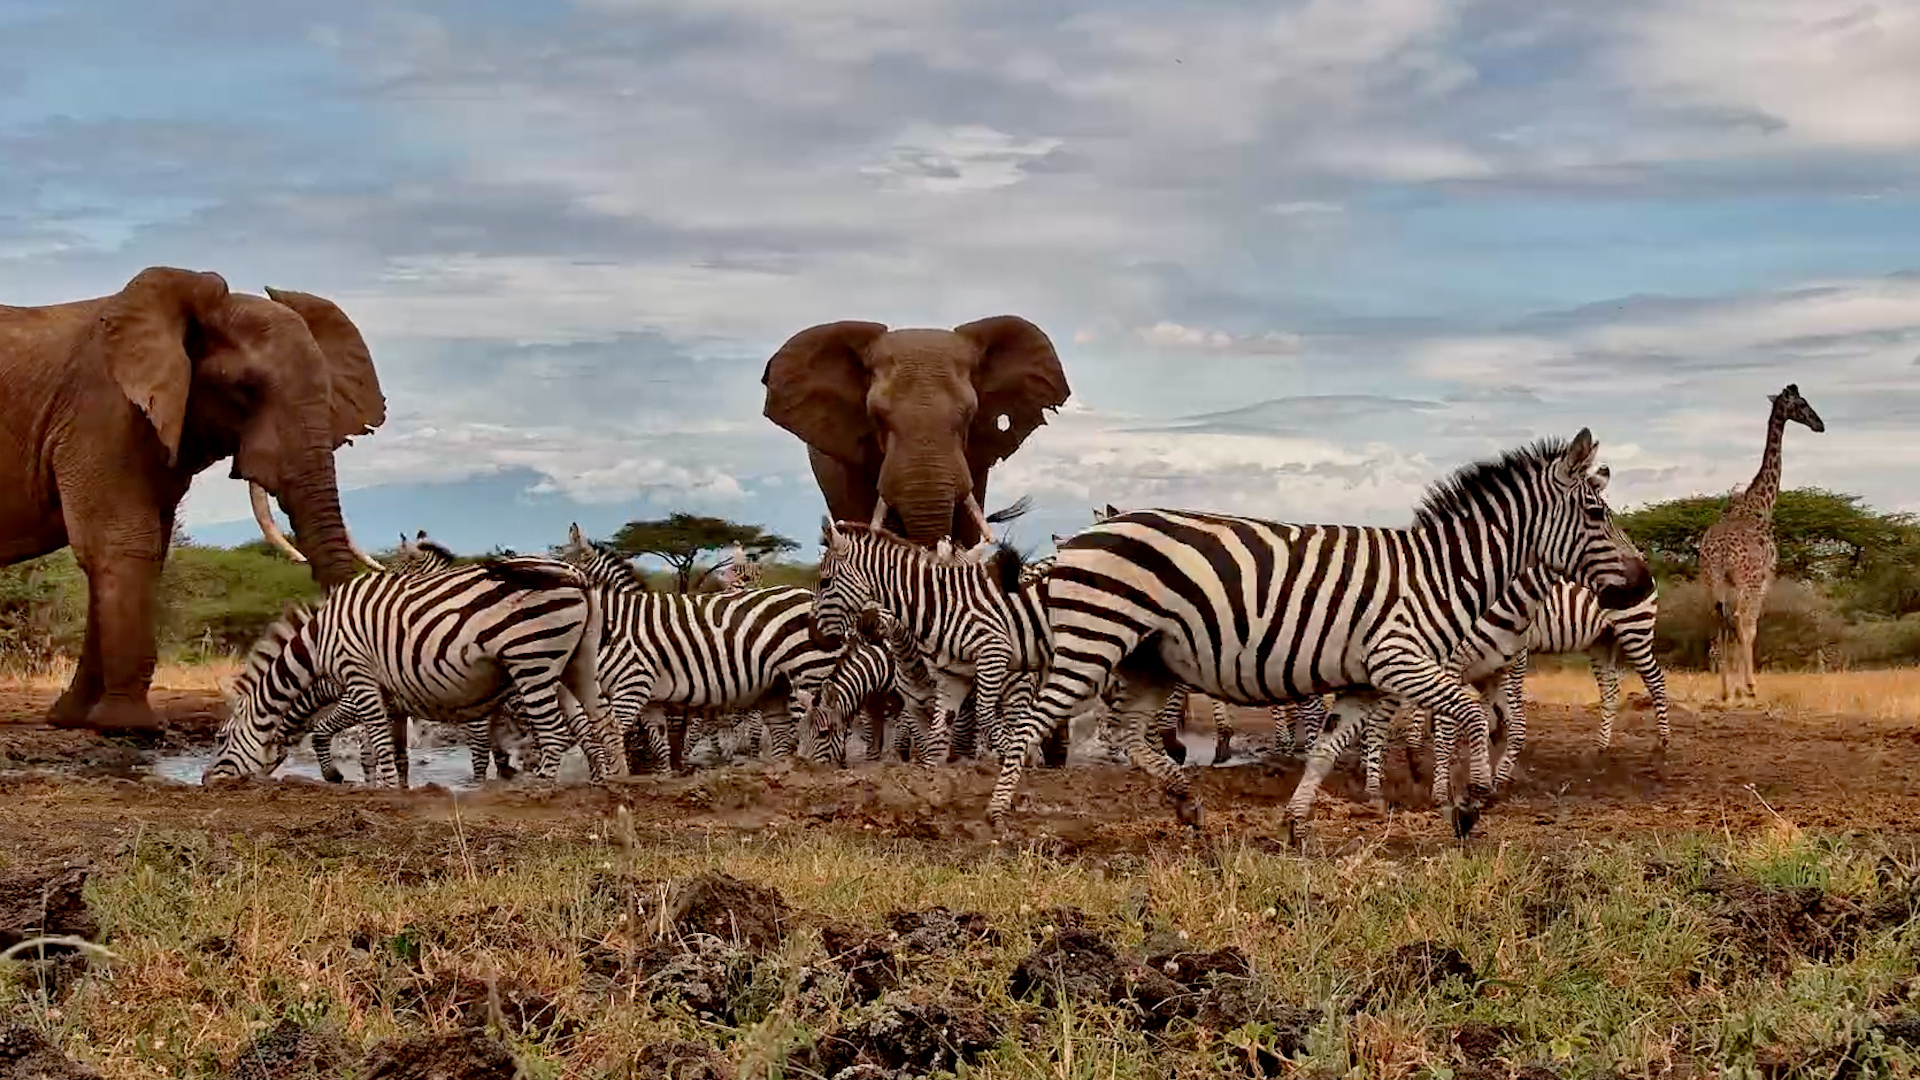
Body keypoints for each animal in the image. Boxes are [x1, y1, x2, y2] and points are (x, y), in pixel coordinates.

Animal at [206, 556, 623, 785]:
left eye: (221, 738)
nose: (206, 781)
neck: (318, 645)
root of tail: (577, 574)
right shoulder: (392, 697)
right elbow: (387, 748)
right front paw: (393, 786)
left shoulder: (358, 681)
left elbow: (352, 736)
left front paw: (356, 781)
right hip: (573, 662)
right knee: (602, 721)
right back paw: (615, 782)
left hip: (532, 660)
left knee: (554, 731)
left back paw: (540, 787)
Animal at [555, 524, 876, 774]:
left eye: (556, 569)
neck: (622, 618)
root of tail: (810, 595)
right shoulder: (654, 699)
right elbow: (660, 744)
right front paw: (665, 776)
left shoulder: (639, 687)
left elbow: (624, 734)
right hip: (779, 686)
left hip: (810, 673)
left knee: (828, 722)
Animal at [994, 429, 1652, 840]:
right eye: (1597, 514)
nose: (1645, 582)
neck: (1441, 572)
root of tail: (1074, 541)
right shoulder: (1400, 659)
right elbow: (1467, 714)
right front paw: (1471, 804)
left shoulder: (1366, 680)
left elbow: (1327, 747)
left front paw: (1297, 822)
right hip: (1094, 640)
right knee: (1033, 723)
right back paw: (998, 820)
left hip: (1149, 658)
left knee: (1126, 733)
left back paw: (1185, 802)